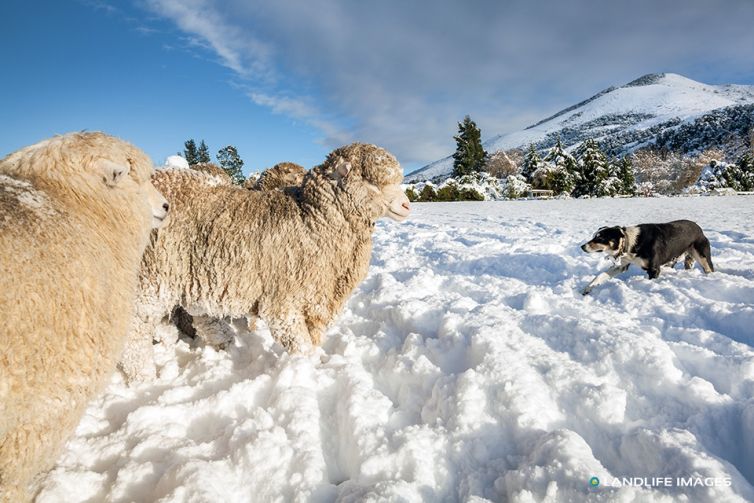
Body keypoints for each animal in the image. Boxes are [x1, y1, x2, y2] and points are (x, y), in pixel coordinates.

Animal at [119, 144, 408, 384]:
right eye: (372, 182)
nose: (406, 205)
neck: (310, 220)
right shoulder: (283, 302)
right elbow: (301, 346)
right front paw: (307, 371)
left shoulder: (316, 299)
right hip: (151, 275)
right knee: (135, 332)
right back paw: (145, 378)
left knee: (200, 315)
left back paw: (221, 341)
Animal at [580, 220, 712, 296]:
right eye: (594, 237)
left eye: (600, 238)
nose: (582, 247)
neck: (630, 243)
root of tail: (699, 228)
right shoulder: (621, 266)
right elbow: (600, 276)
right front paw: (588, 288)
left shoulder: (654, 269)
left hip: (703, 257)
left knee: (709, 269)